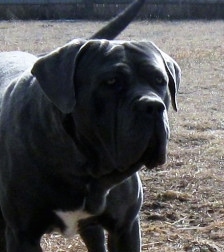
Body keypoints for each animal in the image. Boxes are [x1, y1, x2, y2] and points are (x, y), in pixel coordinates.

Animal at [0, 0, 180, 251]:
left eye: (160, 81)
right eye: (111, 82)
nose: (152, 106)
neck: (86, 169)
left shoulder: (125, 227)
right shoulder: (23, 235)